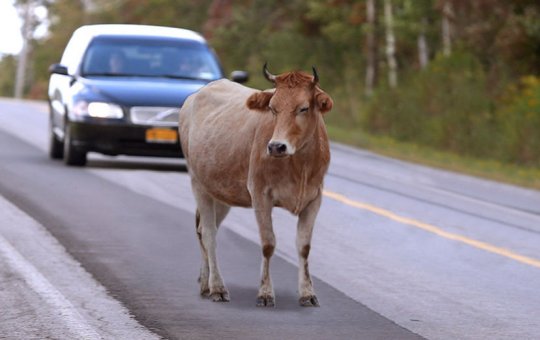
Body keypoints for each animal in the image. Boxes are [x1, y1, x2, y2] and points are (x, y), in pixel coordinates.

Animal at [179, 63, 334, 306]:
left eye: (304, 108)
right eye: (272, 108)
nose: (276, 146)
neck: (300, 166)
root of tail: (196, 95)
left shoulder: (314, 198)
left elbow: (304, 247)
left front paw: (308, 293)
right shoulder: (261, 194)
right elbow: (268, 244)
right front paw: (265, 293)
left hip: (221, 191)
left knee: (203, 229)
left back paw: (205, 283)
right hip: (198, 183)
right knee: (209, 233)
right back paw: (217, 287)